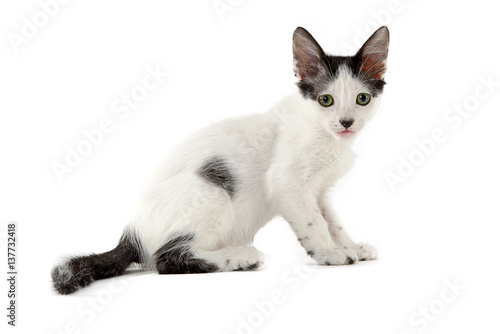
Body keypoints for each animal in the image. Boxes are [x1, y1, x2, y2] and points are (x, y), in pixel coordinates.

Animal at [50, 26, 388, 294]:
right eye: (325, 100)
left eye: (362, 99)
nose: (346, 122)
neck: (323, 134)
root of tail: (131, 234)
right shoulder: (286, 183)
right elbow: (313, 222)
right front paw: (330, 253)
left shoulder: (320, 189)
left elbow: (332, 219)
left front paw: (350, 245)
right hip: (212, 191)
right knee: (166, 258)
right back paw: (240, 257)